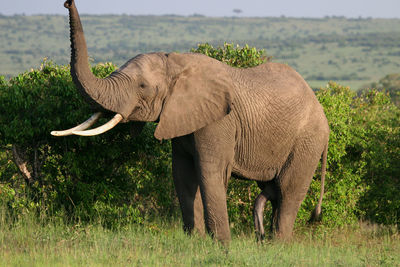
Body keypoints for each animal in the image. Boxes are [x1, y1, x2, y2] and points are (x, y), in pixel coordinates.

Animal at [52, 0, 328, 247]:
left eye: (142, 86)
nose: (66, 2)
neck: (175, 63)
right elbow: (182, 174)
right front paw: (195, 241)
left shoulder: (218, 122)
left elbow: (209, 173)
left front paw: (222, 247)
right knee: (272, 190)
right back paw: (265, 241)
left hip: (307, 142)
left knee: (288, 191)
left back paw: (276, 246)